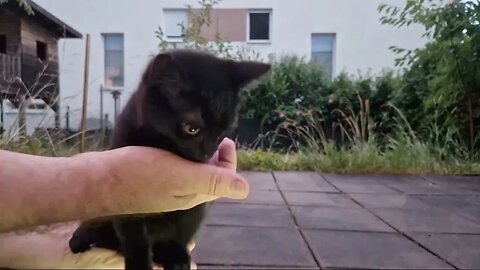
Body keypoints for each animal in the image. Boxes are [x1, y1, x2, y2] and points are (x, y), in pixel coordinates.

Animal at [67, 49, 270, 270]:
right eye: (191, 128)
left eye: (223, 131)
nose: (207, 153)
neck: (162, 143)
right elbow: (133, 236)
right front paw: (139, 264)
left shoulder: (192, 207)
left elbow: (180, 229)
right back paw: (86, 234)